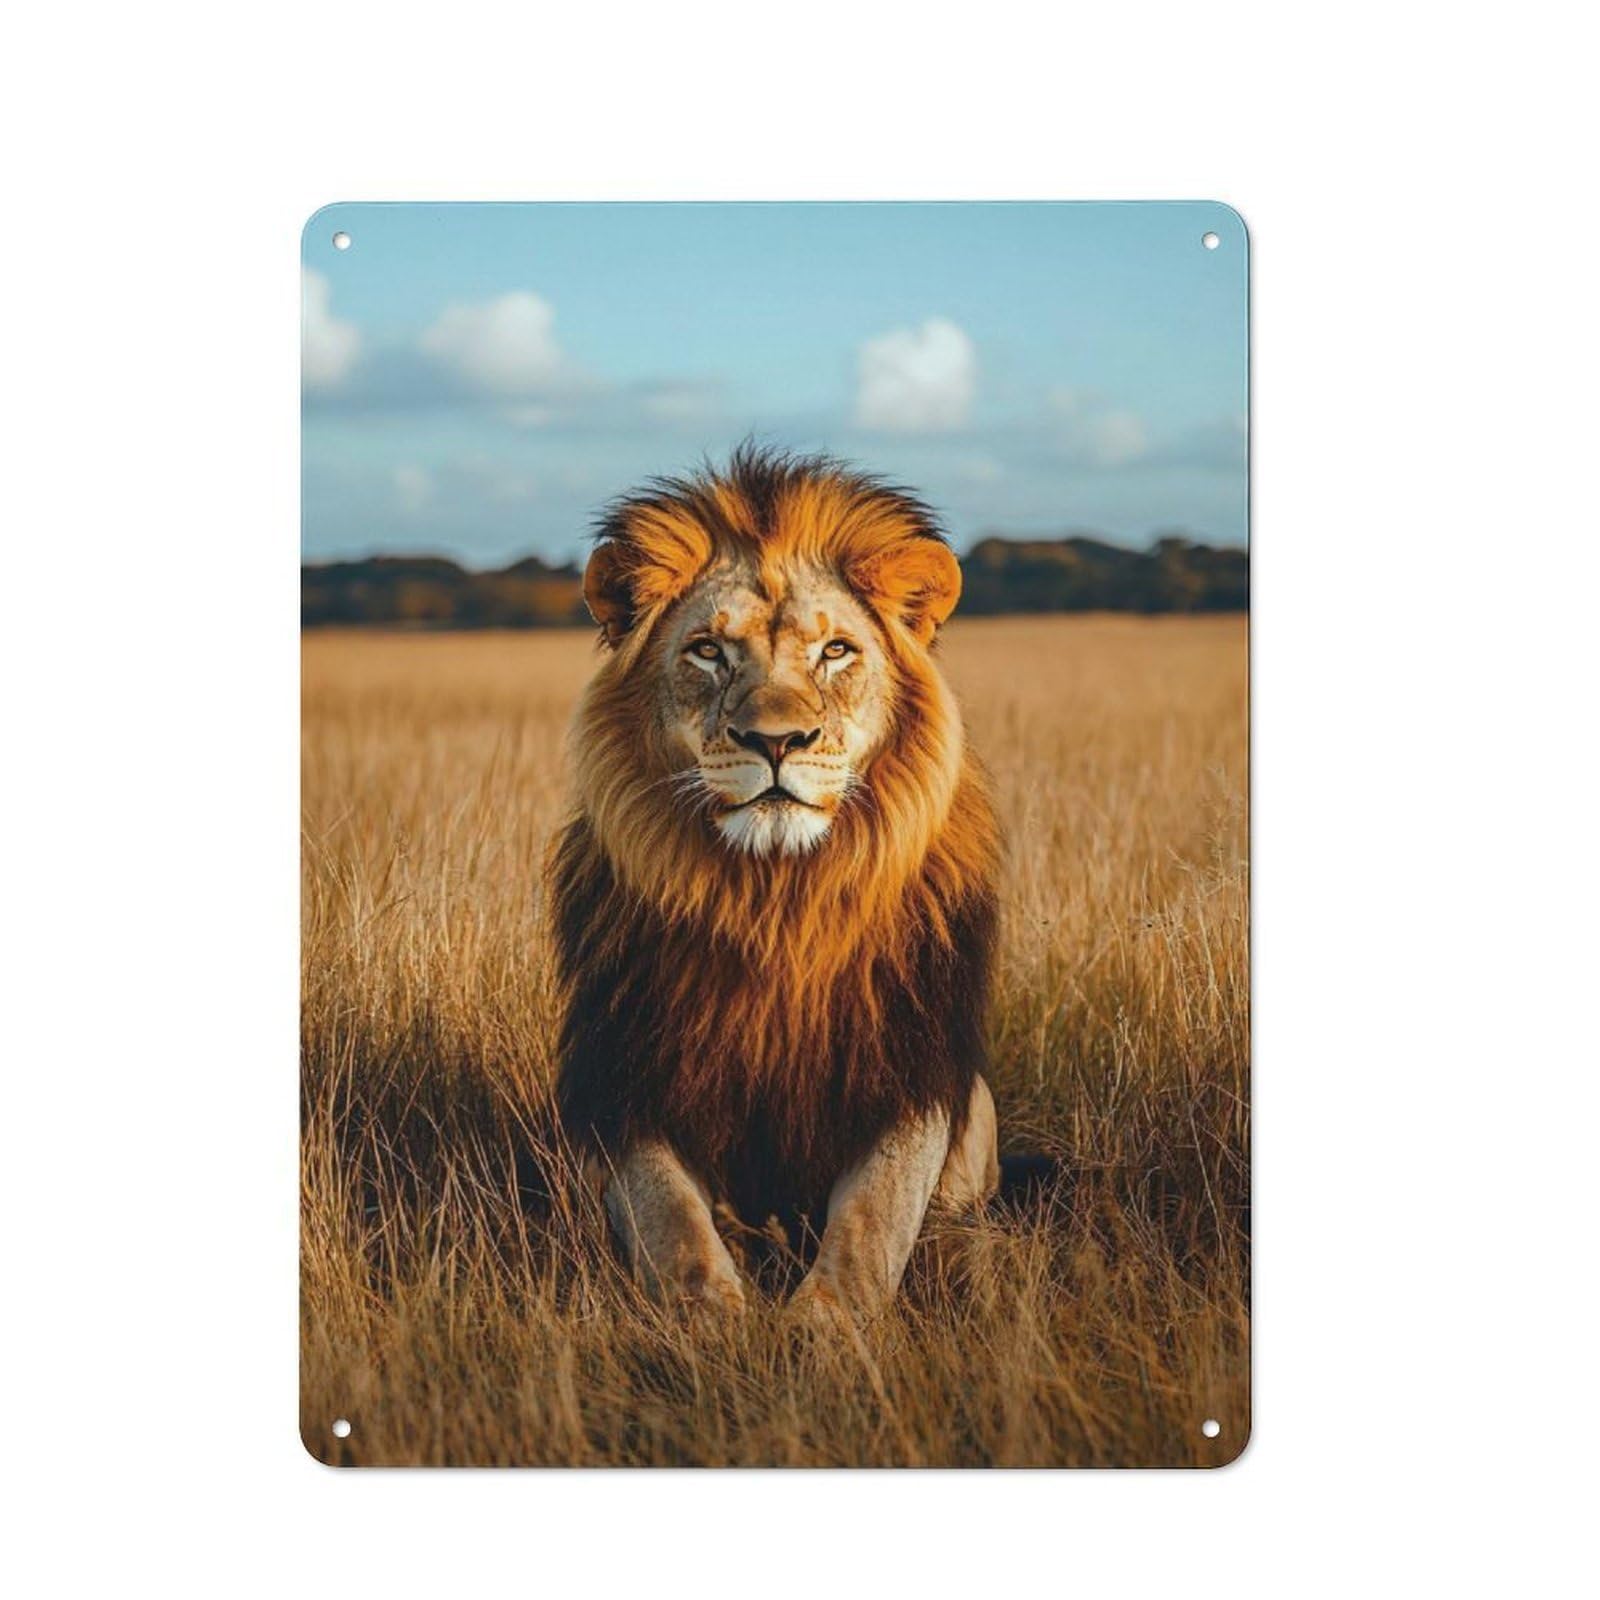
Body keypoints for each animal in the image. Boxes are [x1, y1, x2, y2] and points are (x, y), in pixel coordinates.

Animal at [550, 446, 1003, 1324]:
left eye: (835, 652)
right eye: (707, 652)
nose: (776, 740)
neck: (777, 900)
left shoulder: (911, 1070)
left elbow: (872, 1221)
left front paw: (821, 1331)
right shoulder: (625, 1077)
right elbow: (673, 1222)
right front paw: (715, 1324)